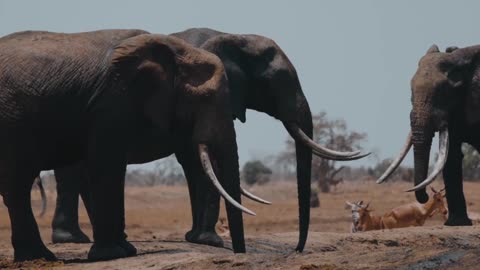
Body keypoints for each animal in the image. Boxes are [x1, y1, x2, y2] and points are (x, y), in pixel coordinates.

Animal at [0, 29, 248, 262]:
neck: (177, 50)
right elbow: (107, 165)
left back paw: (37, 256)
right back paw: (39, 257)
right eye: (206, 98)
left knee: (17, 187)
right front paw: (111, 255)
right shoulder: (112, 100)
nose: (239, 253)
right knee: (18, 184)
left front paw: (126, 251)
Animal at [49, 28, 368, 253]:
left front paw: (196, 238)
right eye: (279, 80)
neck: (231, 35)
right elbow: (206, 161)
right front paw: (209, 241)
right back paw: (78, 239)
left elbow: (198, 165)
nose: (298, 249)